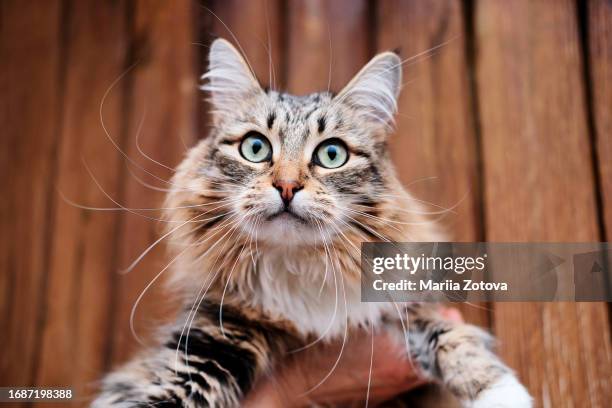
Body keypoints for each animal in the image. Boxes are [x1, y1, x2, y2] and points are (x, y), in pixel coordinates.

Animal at [93, 39, 532, 408]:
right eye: (256, 148)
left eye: (332, 154)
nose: (287, 186)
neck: (299, 267)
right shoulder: (217, 331)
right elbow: (169, 388)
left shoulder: (399, 301)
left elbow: (448, 335)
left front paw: (500, 392)